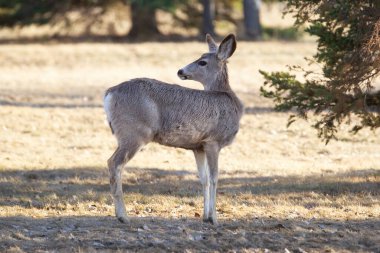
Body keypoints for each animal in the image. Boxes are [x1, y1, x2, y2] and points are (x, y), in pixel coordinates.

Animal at [104, 34, 243, 225]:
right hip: (134, 133)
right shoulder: (213, 141)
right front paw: (214, 218)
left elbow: (204, 179)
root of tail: (109, 94)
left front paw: (205, 216)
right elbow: (214, 177)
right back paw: (123, 216)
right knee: (114, 163)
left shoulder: (198, 146)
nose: (180, 71)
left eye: (202, 62)